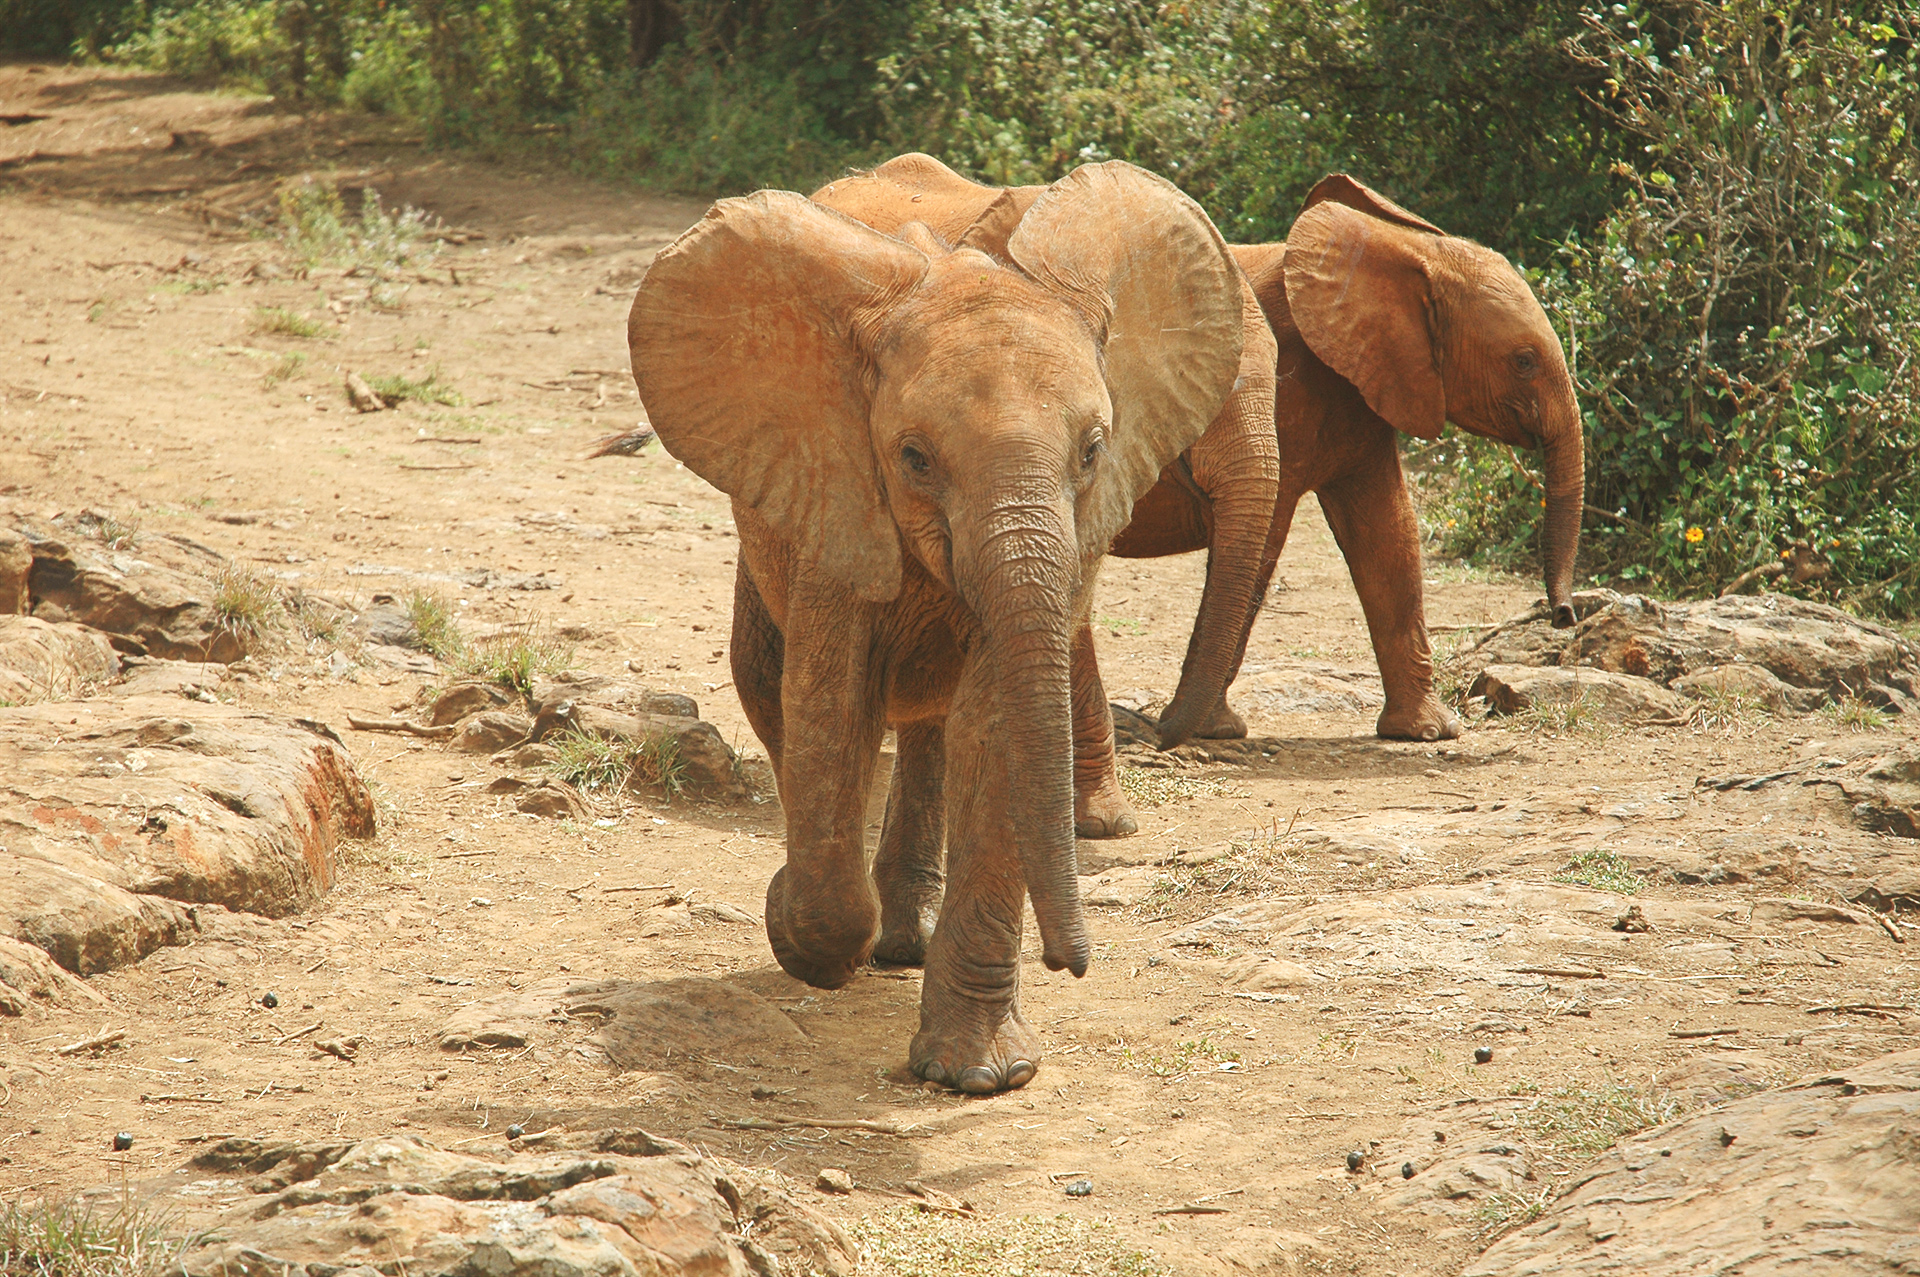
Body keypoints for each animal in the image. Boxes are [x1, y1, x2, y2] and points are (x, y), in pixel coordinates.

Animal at [622, 159, 1236, 1090]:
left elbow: (996, 722)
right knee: (769, 684)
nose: (1070, 960)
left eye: (1093, 450)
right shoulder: (837, 490)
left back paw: (904, 938)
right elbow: (829, 703)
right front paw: (796, 927)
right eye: (913, 458)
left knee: (931, 723)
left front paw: (979, 1074)